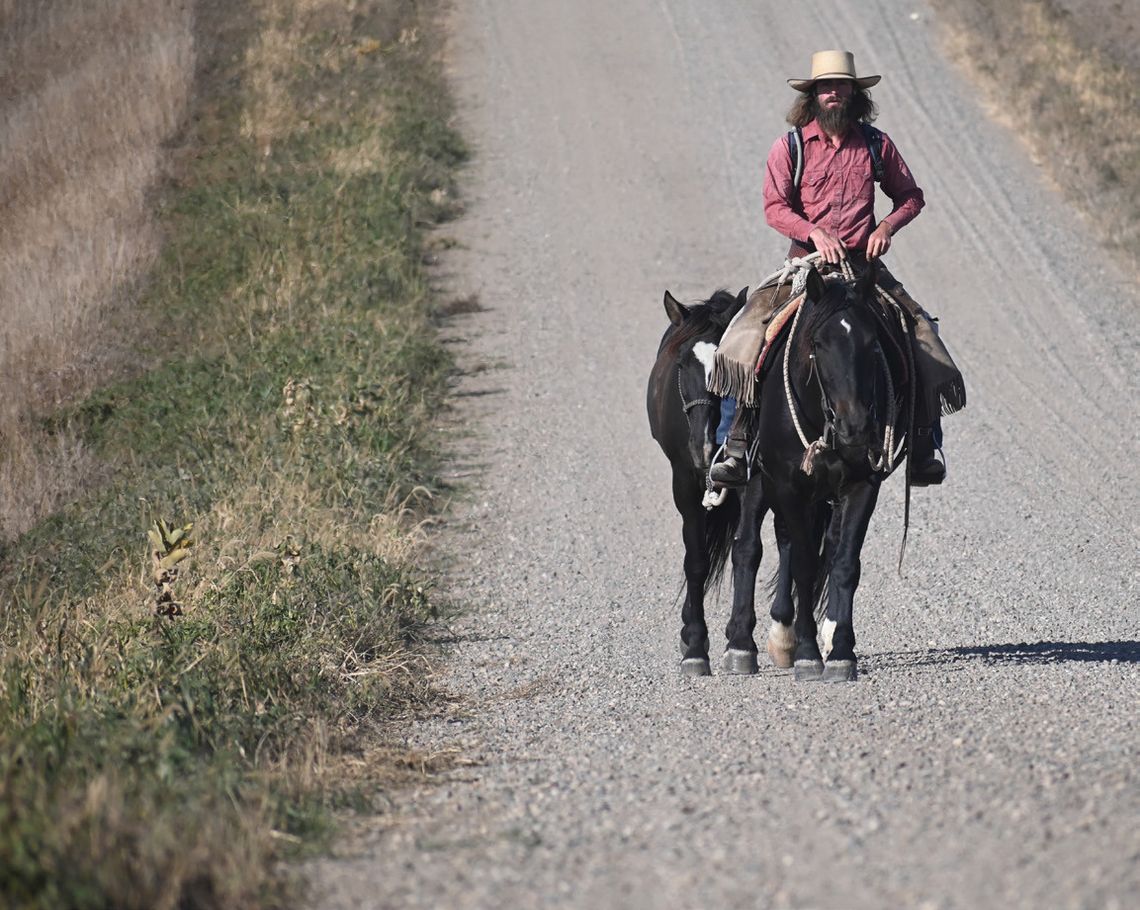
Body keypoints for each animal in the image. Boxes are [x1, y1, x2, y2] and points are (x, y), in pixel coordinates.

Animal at [647, 290, 752, 675]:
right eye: (681, 364)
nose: (703, 446)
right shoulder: (684, 482)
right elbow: (695, 560)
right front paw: (694, 645)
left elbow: (744, 552)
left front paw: (739, 641)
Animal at [725, 266, 912, 679]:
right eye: (819, 343)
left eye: (872, 342)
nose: (855, 427)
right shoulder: (786, 485)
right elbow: (805, 565)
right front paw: (808, 654)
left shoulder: (861, 486)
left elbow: (843, 563)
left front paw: (841, 651)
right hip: (758, 480)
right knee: (749, 547)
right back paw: (740, 645)